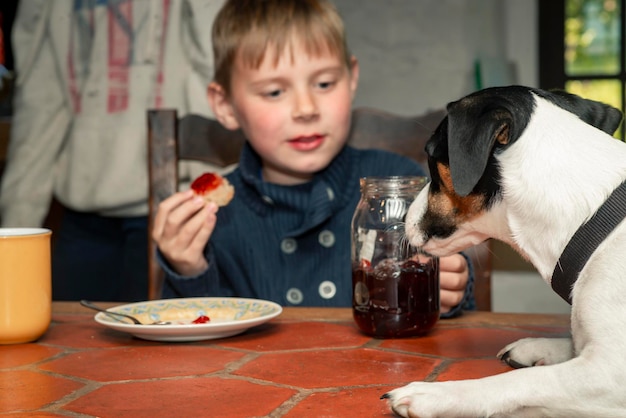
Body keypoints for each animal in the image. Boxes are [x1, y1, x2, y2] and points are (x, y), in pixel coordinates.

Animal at [380, 85, 624, 418]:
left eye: (430, 157)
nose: (403, 218)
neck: (588, 217)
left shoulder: (610, 373)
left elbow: (527, 380)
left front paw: (436, 395)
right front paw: (541, 346)